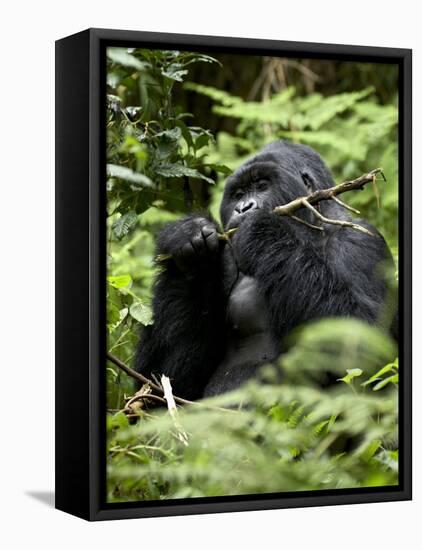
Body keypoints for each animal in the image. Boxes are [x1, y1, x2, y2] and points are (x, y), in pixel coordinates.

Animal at [134, 142, 396, 402]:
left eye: (262, 186)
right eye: (238, 194)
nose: (243, 208)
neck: (312, 230)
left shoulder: (361, 242)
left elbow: (362, 347)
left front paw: (260, 229)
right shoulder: (227, 259)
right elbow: (165, 383)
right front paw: (190, 246)